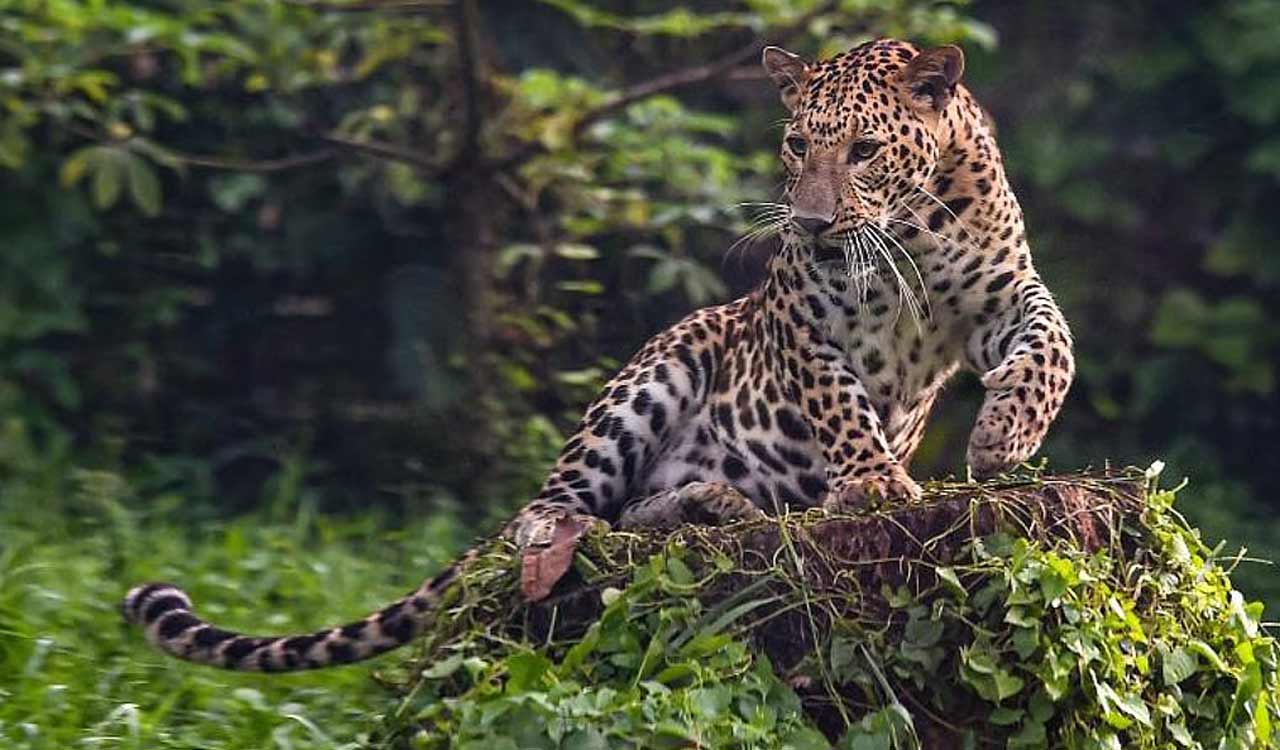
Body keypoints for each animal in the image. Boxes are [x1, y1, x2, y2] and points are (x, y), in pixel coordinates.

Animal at [123, 38, 1074, 672]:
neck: (910, 229)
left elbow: (1052, 343)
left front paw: (1003, 438)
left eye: (866, 151)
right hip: (666, 363)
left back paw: (714, 506)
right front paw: (875, 482)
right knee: (554, 510)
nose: (808, 224)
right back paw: (602, 528)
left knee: (633, 516)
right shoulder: (807, 322)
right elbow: (838, 400)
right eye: (799, 143)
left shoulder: (1003, 292)